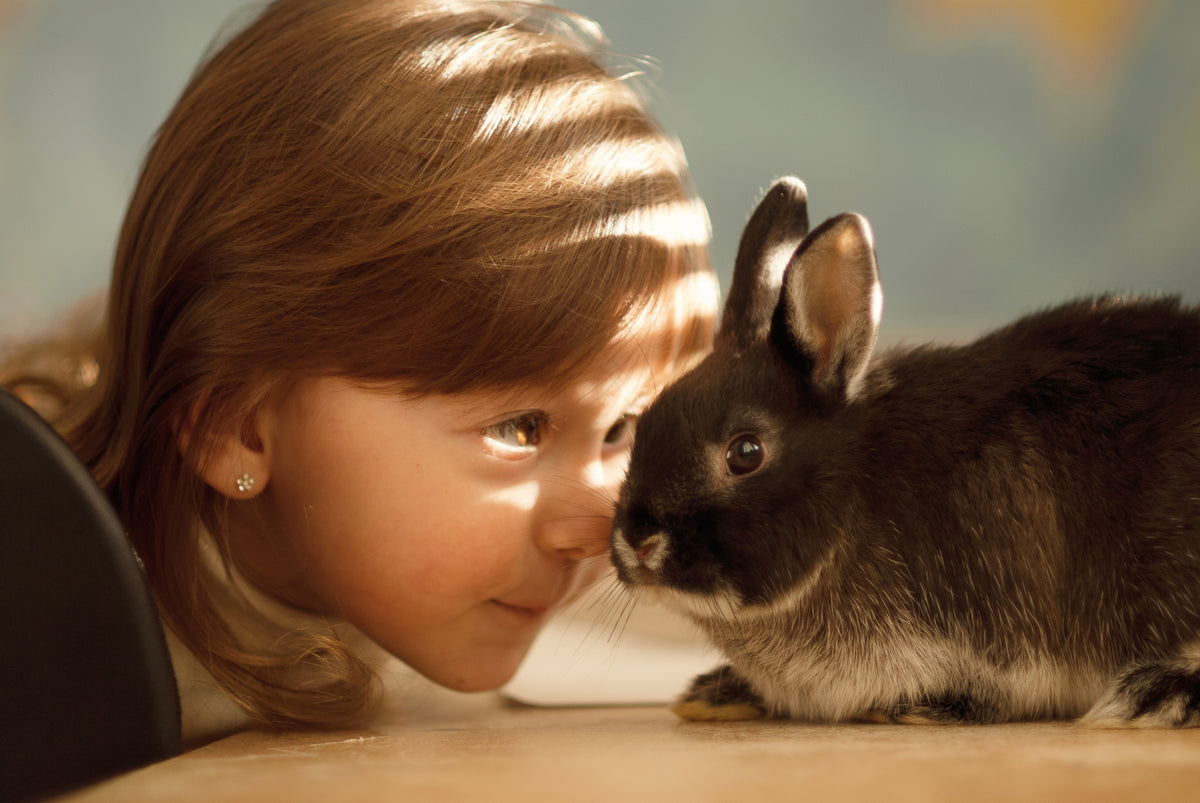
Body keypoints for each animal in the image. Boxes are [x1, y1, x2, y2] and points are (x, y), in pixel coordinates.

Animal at [611, 176, 1200, 726]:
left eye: (745, 452)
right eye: (640, 426)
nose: (637, 542)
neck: (852, 490)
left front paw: (916, 709)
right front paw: (713, 695)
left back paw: (1157, 693)